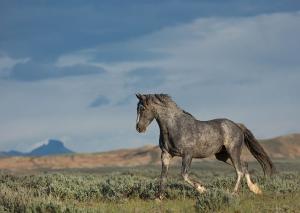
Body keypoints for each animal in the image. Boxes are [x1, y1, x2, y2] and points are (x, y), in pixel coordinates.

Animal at [135, 93, 276, 200]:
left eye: (142, 109)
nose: (139, 128)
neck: (175, 127)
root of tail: (237, 125)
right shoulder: (166, 155)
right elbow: (163, 176)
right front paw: (158, 198)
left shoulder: (187, 154)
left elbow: (184, 175)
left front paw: (203, 190)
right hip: (223, 155)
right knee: (244, 165)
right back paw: (255, 189)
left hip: (233, 151)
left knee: (239, 170)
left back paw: (233, 193)